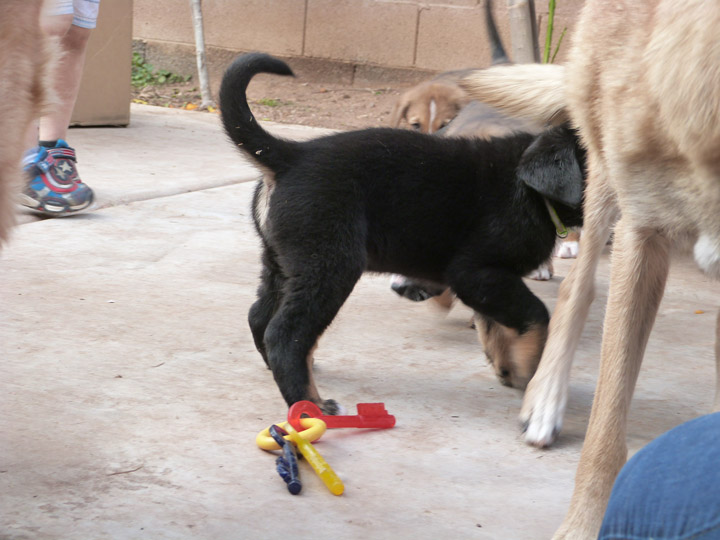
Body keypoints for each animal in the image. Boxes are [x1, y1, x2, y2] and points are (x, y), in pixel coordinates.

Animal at [219, 52, 584, 412]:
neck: (531, 191)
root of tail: (289, 155)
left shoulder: (490, 281)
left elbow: (496, 325)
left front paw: (509, 368)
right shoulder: (477, 272)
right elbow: (536, 315)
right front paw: (533, 373)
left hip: (281, 262)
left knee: (259, 316)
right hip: (329, 264)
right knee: (285, 333)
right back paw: (310, 403)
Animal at [462, 2, 720, 536]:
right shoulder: (642, 234)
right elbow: (606, 426)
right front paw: (582, 525)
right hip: (600, 177)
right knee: (576, 290)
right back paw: (544, 398)